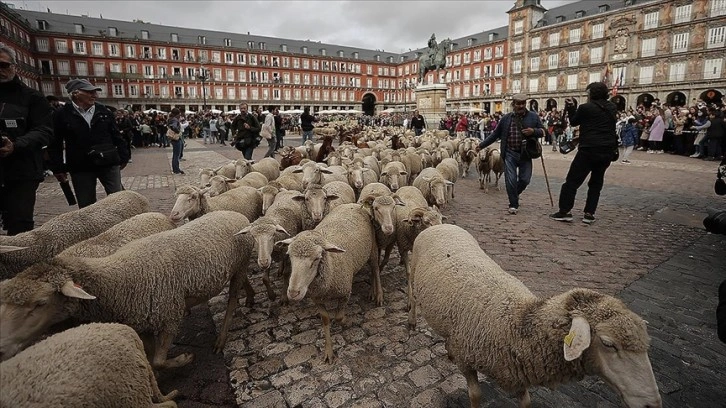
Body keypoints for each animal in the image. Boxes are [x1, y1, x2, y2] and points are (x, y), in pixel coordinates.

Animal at [0, 210, 258, 366]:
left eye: (41, 303)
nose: (2, 348)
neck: (120, 279)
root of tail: (236, 214)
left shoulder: (169, 315)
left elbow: (158, 361)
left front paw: (185, 357)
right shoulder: (144, 321)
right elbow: (151, 358)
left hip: (240, 264)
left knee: (232, 300)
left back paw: (221, 338)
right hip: (237, 267)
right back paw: (251, 297)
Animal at [276, 204, 384, 364]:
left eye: (316, 258)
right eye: (289, 256)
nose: (293, 293)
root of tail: (352, 204)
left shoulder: (345, 293)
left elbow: (338, 317)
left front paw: (346, 321)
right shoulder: (317, 299)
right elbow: (326, 320)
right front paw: (328, 352)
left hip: (372, 249)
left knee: (375, 268)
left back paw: (378, 295)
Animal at [410, 225, 664, 408]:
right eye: (608, 344)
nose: (652, 404)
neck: (516, 321)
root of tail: (440, 225)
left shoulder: (516, 369)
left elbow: (526, 401)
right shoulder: (467, 361)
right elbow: (475, 396)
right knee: (412, 299)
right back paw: (412, 321)